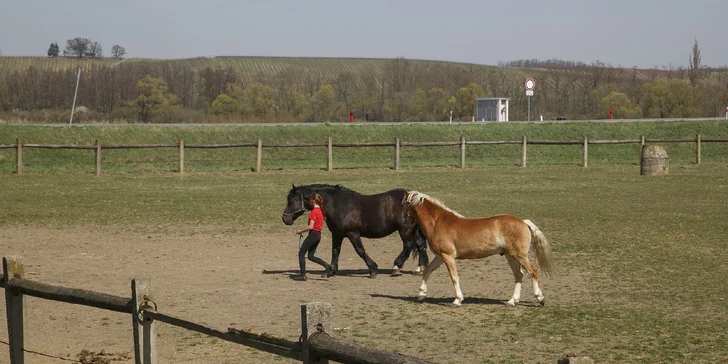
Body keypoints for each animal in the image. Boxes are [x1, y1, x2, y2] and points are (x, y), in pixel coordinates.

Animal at [278, 185, 426, 278]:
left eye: (294, 199)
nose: (285, 219)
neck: (338, 205)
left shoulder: (352, 233)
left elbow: (360, 251)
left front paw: (373, 269)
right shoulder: (337, 234)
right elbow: (335, 252)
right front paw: (330, 271)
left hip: (405, 230)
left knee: (409, 246)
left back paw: (396, 266)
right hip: (413, 230)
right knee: (420, 246)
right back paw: (420, 268)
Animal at [404, 191, 556, 308]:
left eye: (405, 203)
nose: (405, 221)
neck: (438, 223)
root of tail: (523, 222)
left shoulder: (448, 256)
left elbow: (454, 277)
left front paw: (457, 300)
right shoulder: (440, 256)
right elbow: (427, 270)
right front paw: (421, 294)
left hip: (519, 255)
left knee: (532, 271)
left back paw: (540, 298)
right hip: (509, 255)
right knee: (519, 275)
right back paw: (512, 301)